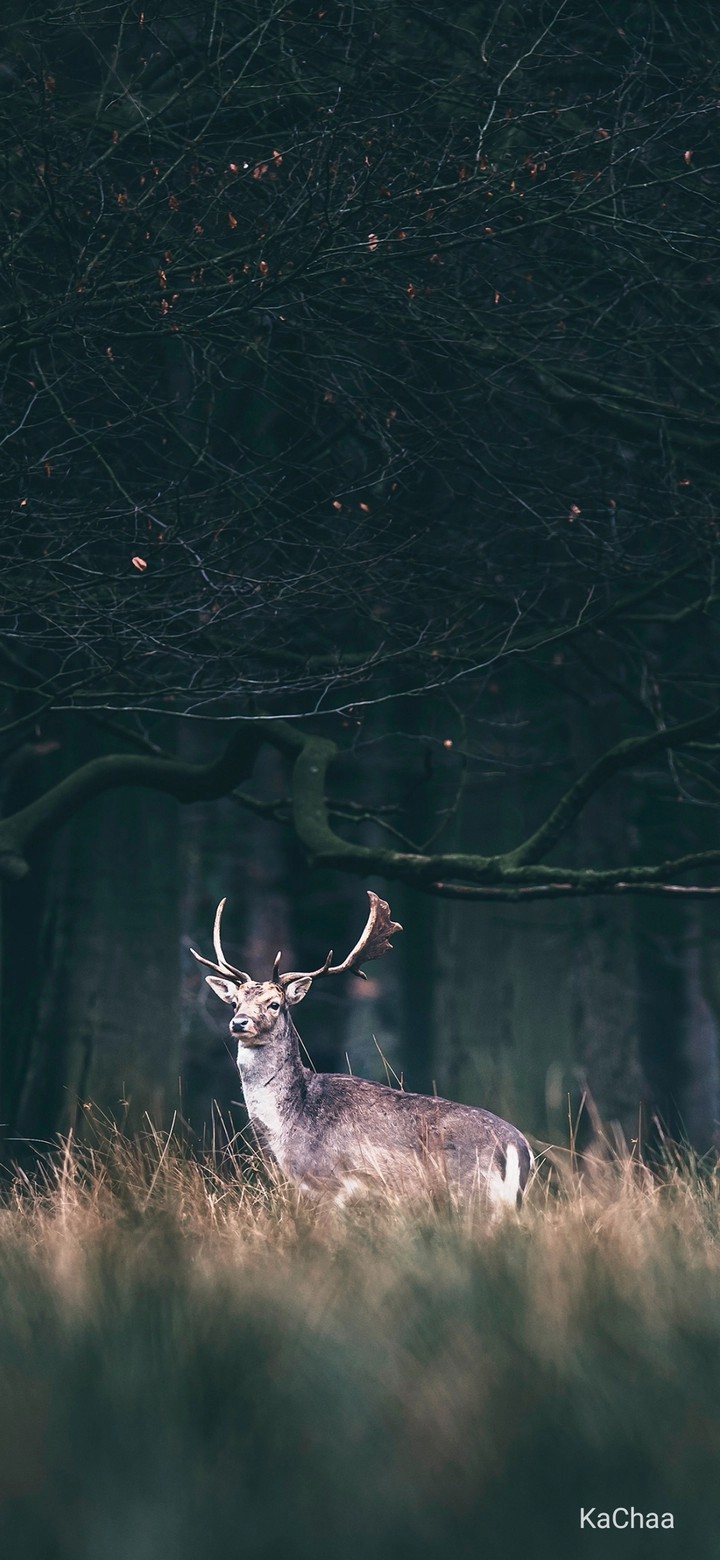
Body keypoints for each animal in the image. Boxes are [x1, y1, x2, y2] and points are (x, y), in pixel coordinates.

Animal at [192, 891, 534, 1210]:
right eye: (235, 1002)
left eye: (274, 1004)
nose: (239, 1023)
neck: (289, 1122)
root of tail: (520, 1147)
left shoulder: (328, 1182)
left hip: (474, 1193)